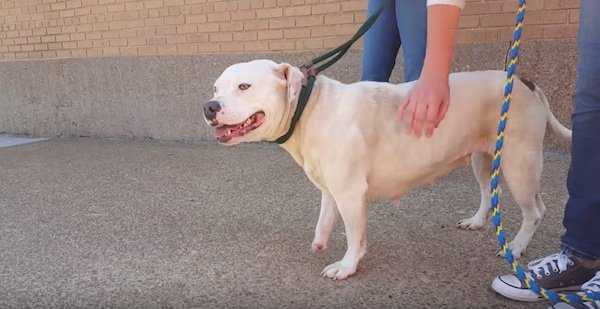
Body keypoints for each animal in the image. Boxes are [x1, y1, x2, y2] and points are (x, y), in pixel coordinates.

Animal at [203, 58, 572, 280]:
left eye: (244, 86)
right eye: (216, 88)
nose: (209, 106)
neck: (309, 108)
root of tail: (523, 80)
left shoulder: (351, 194)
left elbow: (355, 234)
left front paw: (347, 266)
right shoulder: (332, 187)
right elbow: (325, 215)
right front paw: (320, 241)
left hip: (519, 163)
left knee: (535, 210)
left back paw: (517, 247)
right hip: (482, 158)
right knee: (486, 191)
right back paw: (478, 220)